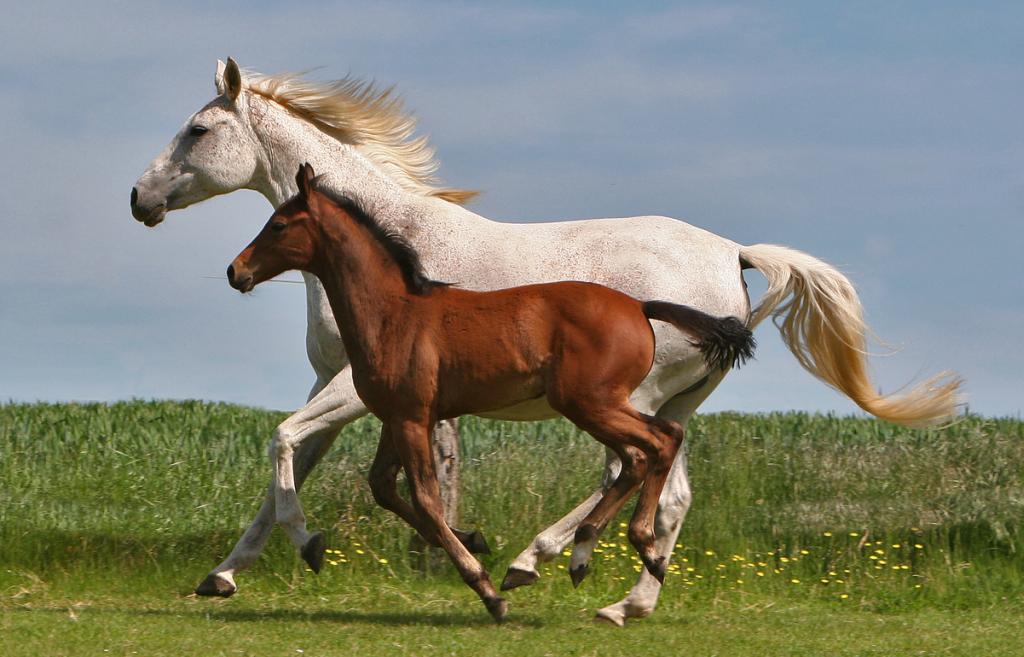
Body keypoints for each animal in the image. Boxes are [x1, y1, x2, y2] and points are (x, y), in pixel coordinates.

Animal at [228, 163, 753, 618]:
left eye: (278, 225)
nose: (236, 271)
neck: (394, 313)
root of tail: (641, 307)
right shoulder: (399, 416)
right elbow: (384, 487)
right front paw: (475, 541)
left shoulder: (411, 418)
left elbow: (426, 499)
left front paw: (486, 589)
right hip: (602, 405)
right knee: (648, 452)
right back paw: (593, 556)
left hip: (590, 403)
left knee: (654, 445)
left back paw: (614, 551)